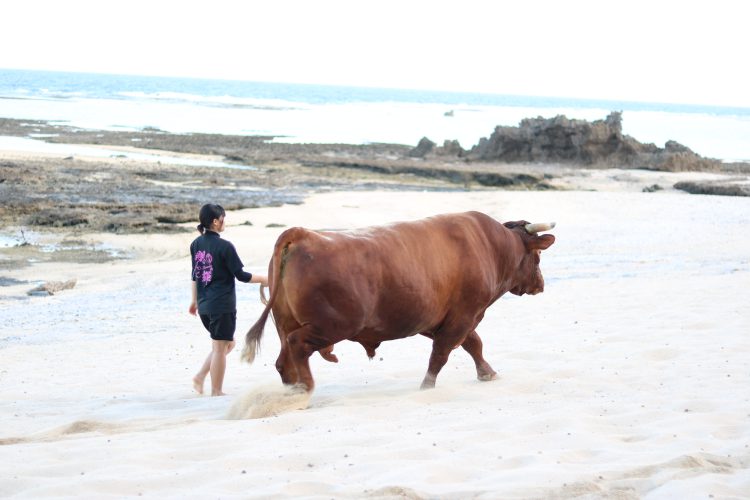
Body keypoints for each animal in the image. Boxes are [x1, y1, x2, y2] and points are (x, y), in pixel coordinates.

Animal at [244, 209, 556, 392]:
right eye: (538, 256)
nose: (540, 284)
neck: (489, 245)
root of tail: (302, 234)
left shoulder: (435, 319)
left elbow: (473, 344)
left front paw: (487, 373)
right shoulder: (464, 315)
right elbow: (443, 353)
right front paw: (427, 386)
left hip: (285, 323)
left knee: (284, 361)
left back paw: (292, 390)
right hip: (332, 325)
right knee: (298, 346)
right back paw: (306, 387)